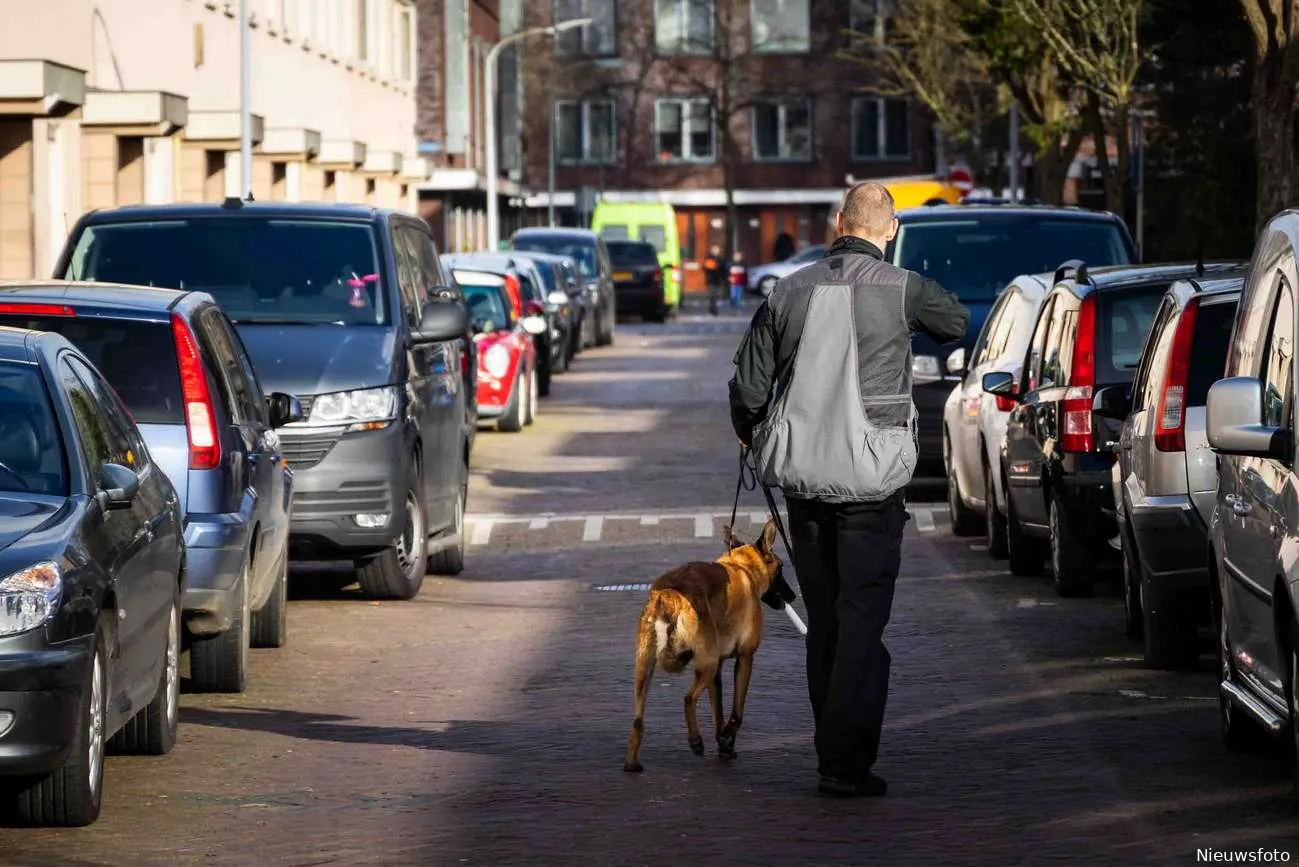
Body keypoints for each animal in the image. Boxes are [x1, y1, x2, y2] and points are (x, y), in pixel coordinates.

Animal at [623, 522, 784, 774]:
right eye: (782, 568)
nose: (793, 595)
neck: (742, 566)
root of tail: (669, 594)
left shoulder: (718, 669)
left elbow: (718, 711)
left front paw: (724, 745)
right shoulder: (745, 659)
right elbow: (737, 712)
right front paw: (727, 738)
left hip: (645, 670)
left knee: (638, 721)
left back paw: (632, 764)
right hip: (706, 665)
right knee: (688, 699)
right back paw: (695, 741)